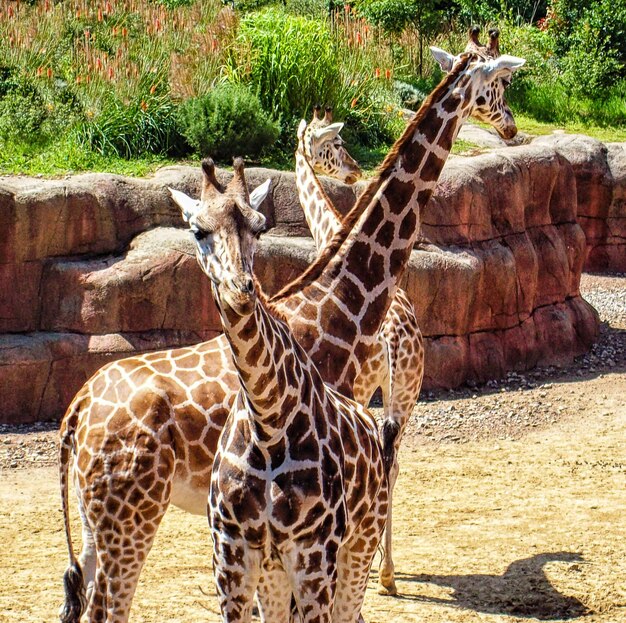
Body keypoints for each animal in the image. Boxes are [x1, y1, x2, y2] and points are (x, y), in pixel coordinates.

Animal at [171, 157, 386, 623]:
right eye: (198, 230)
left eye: (260, 226)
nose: (243, 288)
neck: (267, 418)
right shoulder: (231, 554)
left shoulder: (314, 554)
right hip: (275, 570)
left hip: (360, 544)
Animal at [294, 106, 424, 596]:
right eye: (334, 145)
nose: (353, 170)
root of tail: (393, 342)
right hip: (402, 395)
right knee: (393, 461)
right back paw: (386, 571)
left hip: (376, 390)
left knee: (386, 462)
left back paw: (380, 570)